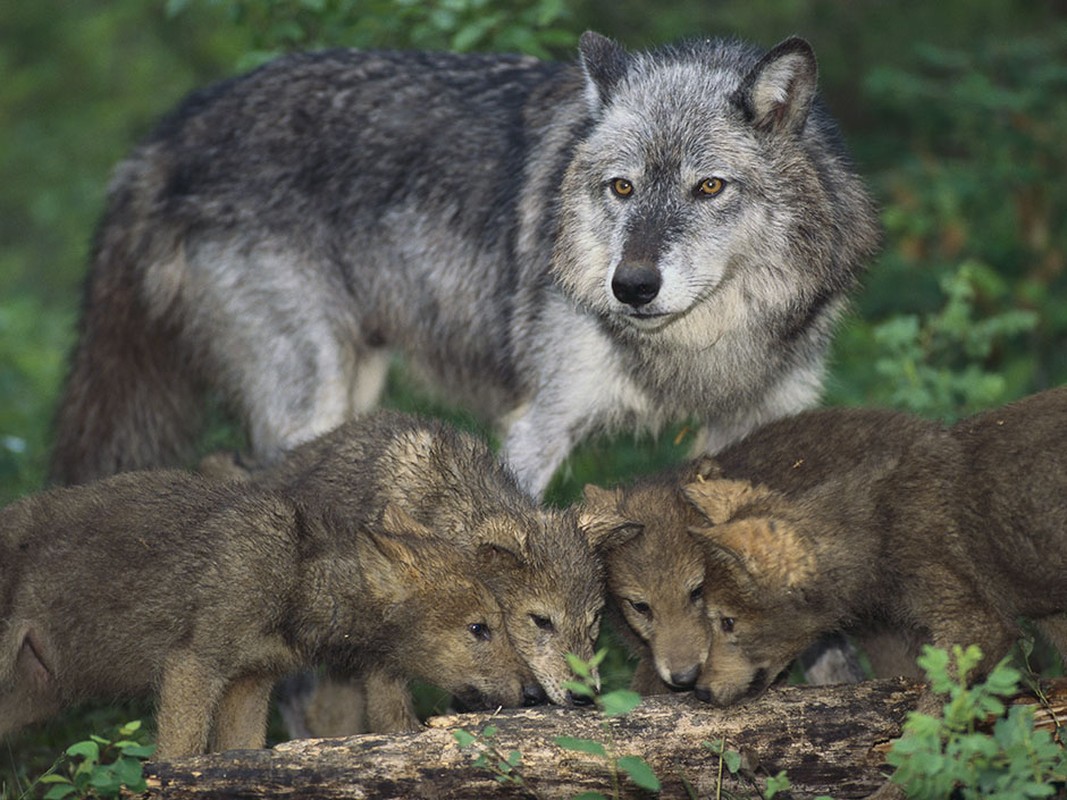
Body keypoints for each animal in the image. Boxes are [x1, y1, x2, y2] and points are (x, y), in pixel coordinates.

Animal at [0, 467, 533, 755]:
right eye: (479, 628)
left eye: (501, 624)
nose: (533, 693)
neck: (294, 577)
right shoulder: (193, 667)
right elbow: (177, 756)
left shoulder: (249, 685)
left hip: (30, 700)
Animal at [50, 32, 879, 501]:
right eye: (621, 187)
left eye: (708, 187)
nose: (631, 287)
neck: (700, 349)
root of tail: (167, 134)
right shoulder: (539, 424)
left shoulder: (758, 428)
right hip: (307, 393)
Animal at [682, 388, 1067, 708]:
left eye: (727, 622)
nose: (700, 692)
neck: (879, 534)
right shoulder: (1050, 613)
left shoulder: (977, 627)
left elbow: (929, 720)